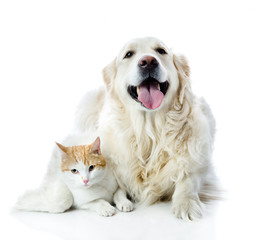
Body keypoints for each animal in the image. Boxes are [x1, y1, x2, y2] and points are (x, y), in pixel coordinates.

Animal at [75, 38, 217, 221]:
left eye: (161, 51)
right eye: (128, 54)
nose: (148, 61)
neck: (149, 132)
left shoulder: (199, 162)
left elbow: (188, 179)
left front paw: (186, 204)